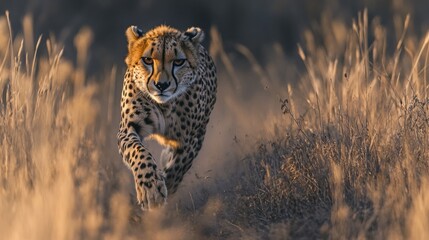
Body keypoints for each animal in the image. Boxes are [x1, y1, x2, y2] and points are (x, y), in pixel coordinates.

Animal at [116, 24, 216, 210]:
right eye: (147, 60)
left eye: (178, 62)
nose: (161, 85)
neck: (164, 104)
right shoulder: (128, 128)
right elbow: (138, 152)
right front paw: (150, 188)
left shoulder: (191, 138)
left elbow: (178, 167)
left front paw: (164, 186)